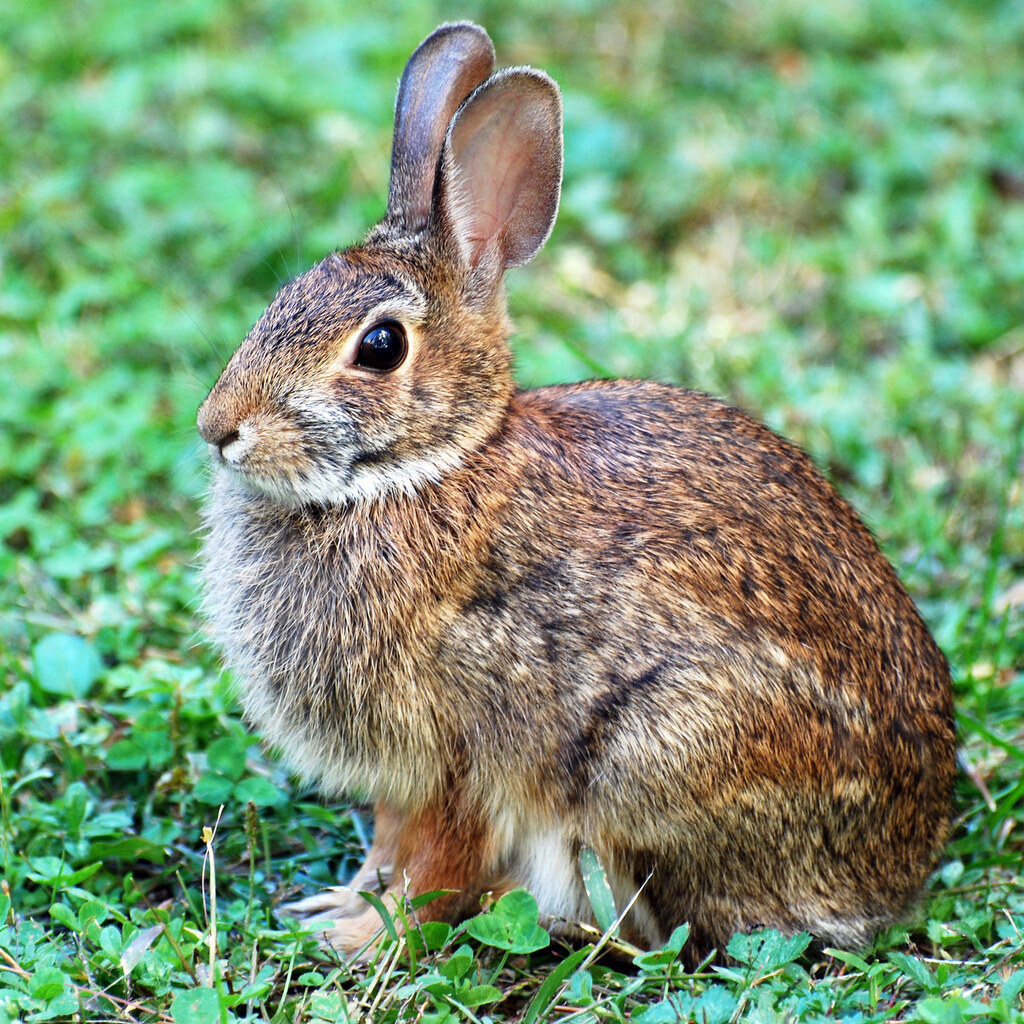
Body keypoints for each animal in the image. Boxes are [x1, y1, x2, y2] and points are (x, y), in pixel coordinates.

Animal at [196, 22, 955, 965]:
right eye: (282, 298)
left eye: (379, 347)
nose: (217, 427)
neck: (427, 467)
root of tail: (905, 863)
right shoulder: (405, 777)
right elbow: (388, 847)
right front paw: (341, 904)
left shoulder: (460, 755)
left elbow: (432, 866)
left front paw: (362, 936)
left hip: (654, 757)